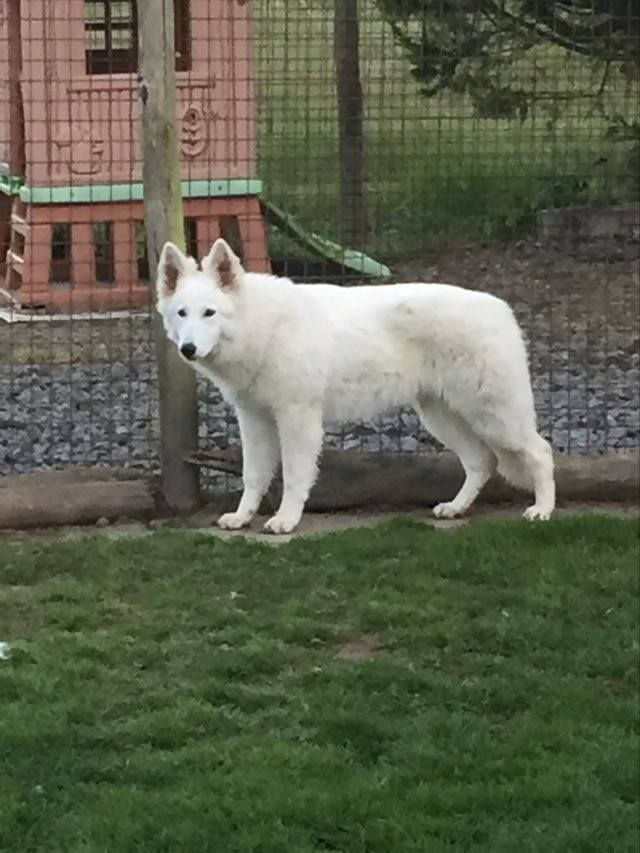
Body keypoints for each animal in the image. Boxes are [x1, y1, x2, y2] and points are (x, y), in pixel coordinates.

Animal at [156, 238, 556, 532]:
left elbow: (295, 476)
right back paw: (456, 508)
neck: (261, 326)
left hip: (495, 417)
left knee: (541, 451)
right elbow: (253, 476)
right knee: (481, 462)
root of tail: (501, 307)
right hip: (443, 418)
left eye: (209, 313)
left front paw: (286, 520)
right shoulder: (253, 421)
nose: (187, 349)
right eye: (182, 313)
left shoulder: (297, 418)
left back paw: (542, 511)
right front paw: (242, 517)